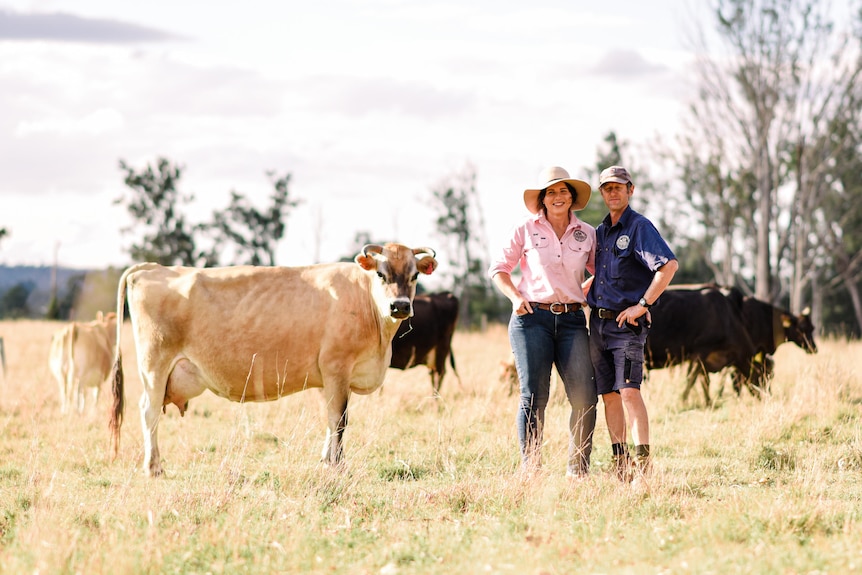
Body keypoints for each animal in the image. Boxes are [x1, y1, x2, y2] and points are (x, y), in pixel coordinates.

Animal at [109, 243, 438, 476]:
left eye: (414, 275)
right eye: (381, 274)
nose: (399, 306)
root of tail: (153, 268)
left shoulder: (328, 377)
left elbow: (330, 419)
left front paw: (326, 461)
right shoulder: (337, 368)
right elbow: (340, 420)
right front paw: (338, 466)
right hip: (154, 367)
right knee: (148, 411)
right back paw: (153, 467)